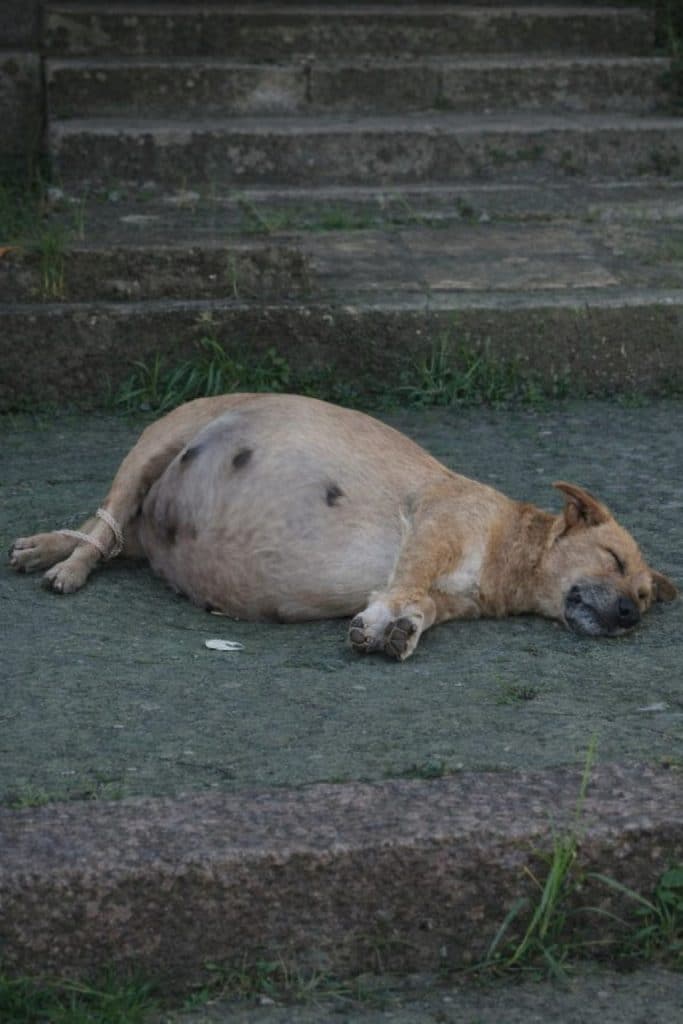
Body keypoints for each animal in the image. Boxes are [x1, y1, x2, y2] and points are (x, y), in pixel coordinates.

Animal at [9, 393, 677, 659]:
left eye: (645, 596)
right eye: (615, 560)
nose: (630, 615)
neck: (507, 553)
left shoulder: (449, 596)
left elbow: (419, 605)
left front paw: (403, 628)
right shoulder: (434, 525)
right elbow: (405, 582)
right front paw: (383, 621)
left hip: (145, 515)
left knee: (116, 537)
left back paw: (44, 547)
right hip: (154, 446)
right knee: (102, 527)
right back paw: (65, 564)